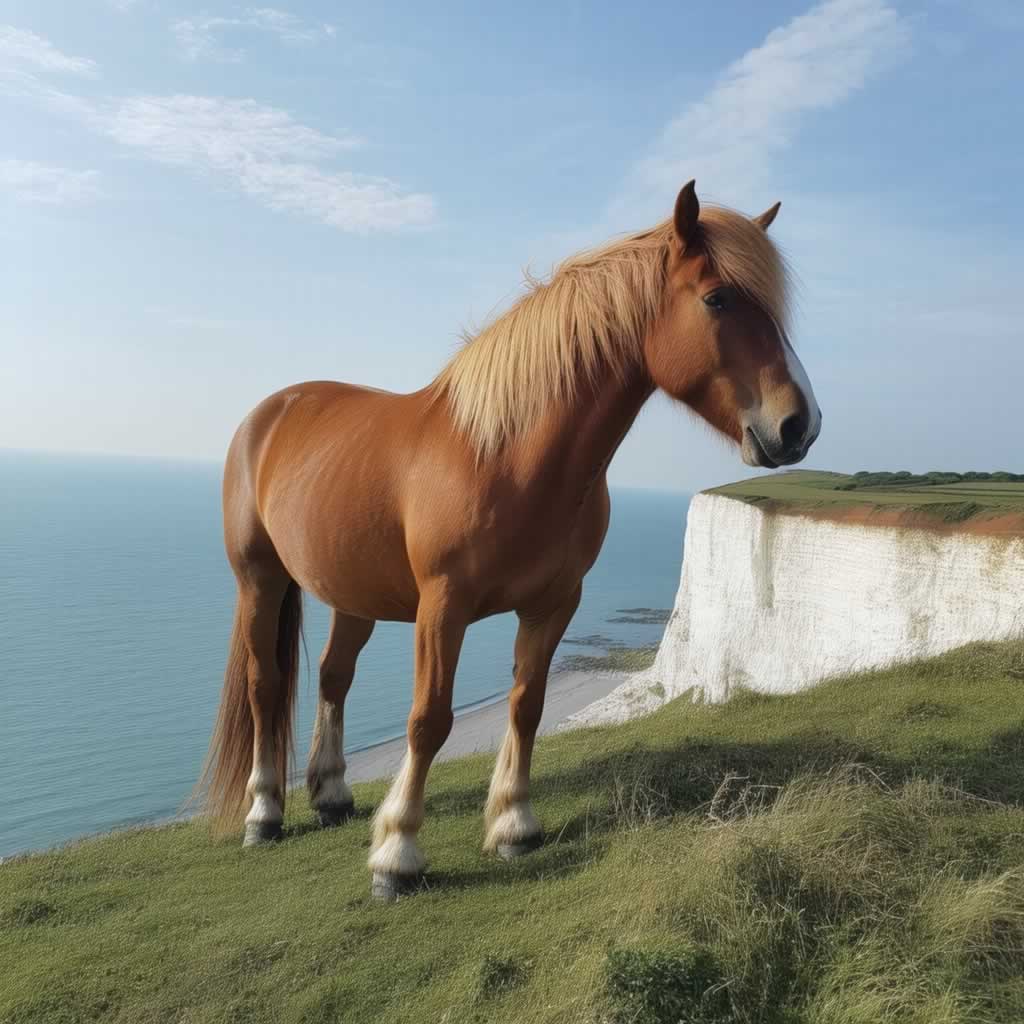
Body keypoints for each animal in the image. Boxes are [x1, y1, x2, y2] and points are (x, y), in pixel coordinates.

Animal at [198, 180, 821, 900]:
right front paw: (397, 854)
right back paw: (265, 811)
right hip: (260, 580)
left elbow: (528, 705)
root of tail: (270, 412)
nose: (800, 424)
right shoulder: (443, 607)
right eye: (718, 298)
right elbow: (429, 719)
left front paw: (513, 825)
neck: (505, 454)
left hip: (353, 591)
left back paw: (330, 795)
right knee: (265, 685)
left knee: (333, 676)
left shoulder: (554, 604)